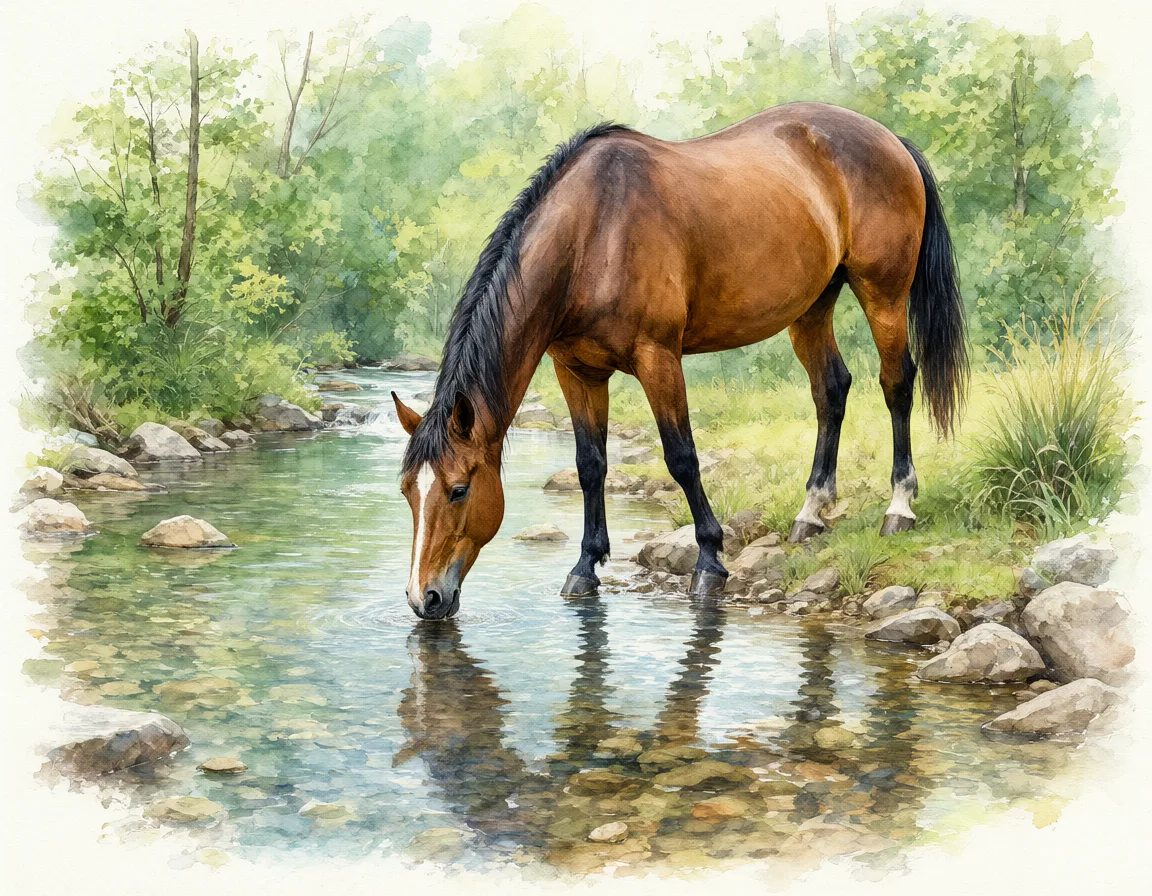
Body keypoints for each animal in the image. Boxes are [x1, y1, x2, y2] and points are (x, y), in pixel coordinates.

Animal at [392, 102, 967, 620]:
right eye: (407, 492)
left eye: (459, 490)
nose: (426, 599)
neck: (593, 231)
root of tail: (891, 140)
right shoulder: (576, 371)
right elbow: (590, 464)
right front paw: (585, 567)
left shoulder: (659, 358)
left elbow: (682, 456)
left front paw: (709, 561)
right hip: (811, 306)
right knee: (831, 388)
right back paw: (811, 513)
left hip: (883, 292)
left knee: (896, 383)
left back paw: (899, 506)